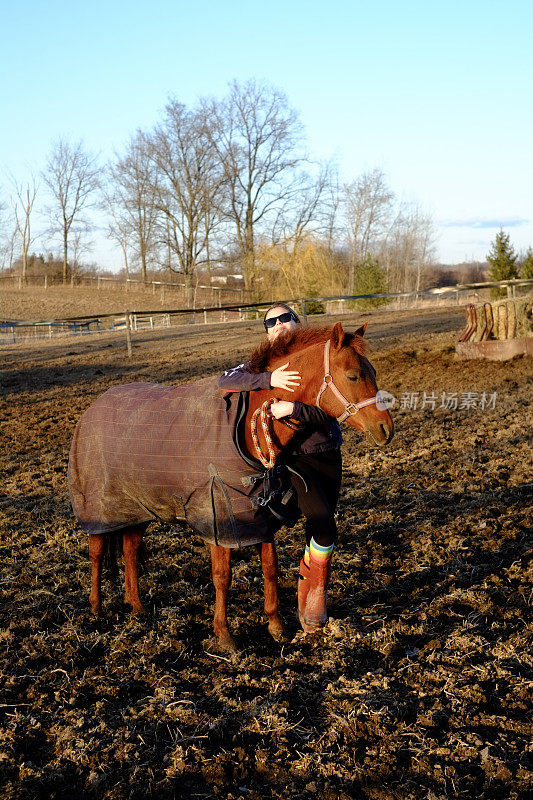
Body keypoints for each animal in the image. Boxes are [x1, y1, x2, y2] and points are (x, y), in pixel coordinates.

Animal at [69, 322, 390, 652]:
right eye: (353, 375)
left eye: (373, 371)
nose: (385, 429)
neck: (246, 427)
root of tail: (91, 410)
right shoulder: (218, 520)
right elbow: (222, 576)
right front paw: (224, 634)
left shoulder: (258, 517)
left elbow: (270, 569)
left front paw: (276, 626)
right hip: (99, 510)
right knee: (96, 553)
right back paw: (96, 607)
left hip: (139, 508)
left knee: (130, 550)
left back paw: (136, 606)